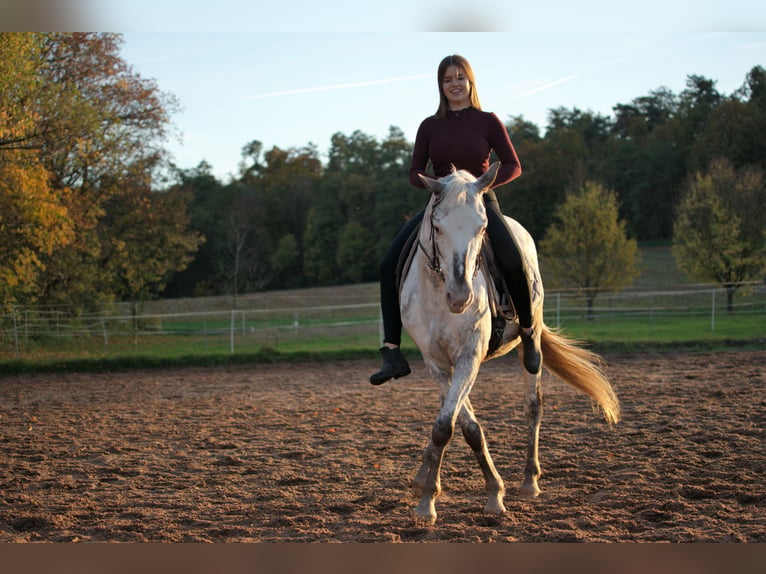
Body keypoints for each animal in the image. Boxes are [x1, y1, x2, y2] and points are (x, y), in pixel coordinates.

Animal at [402, 162, 624, 528]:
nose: (461, 296)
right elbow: (464, 425)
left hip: (529, 343)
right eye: (437, 225)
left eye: (482, 227)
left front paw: (438, 501)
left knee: (533, 406)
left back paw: (530, 481)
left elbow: (444, 426)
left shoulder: (470, 357)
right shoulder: (436, 363)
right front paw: (435, 490)